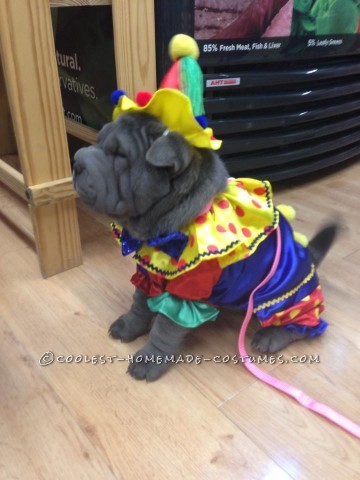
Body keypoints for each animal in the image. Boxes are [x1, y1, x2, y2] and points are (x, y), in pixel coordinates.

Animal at [73, 110, 338, 380]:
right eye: (98, 140)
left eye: (121, 156)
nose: (76, 161)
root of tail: (307, 254)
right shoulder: (149, 273)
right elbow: (139, 303)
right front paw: (129, 326)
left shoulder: (185, 290)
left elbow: (164, 329)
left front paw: (150, 359)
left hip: (285, 295)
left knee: (303, 323)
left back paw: (271, 336)